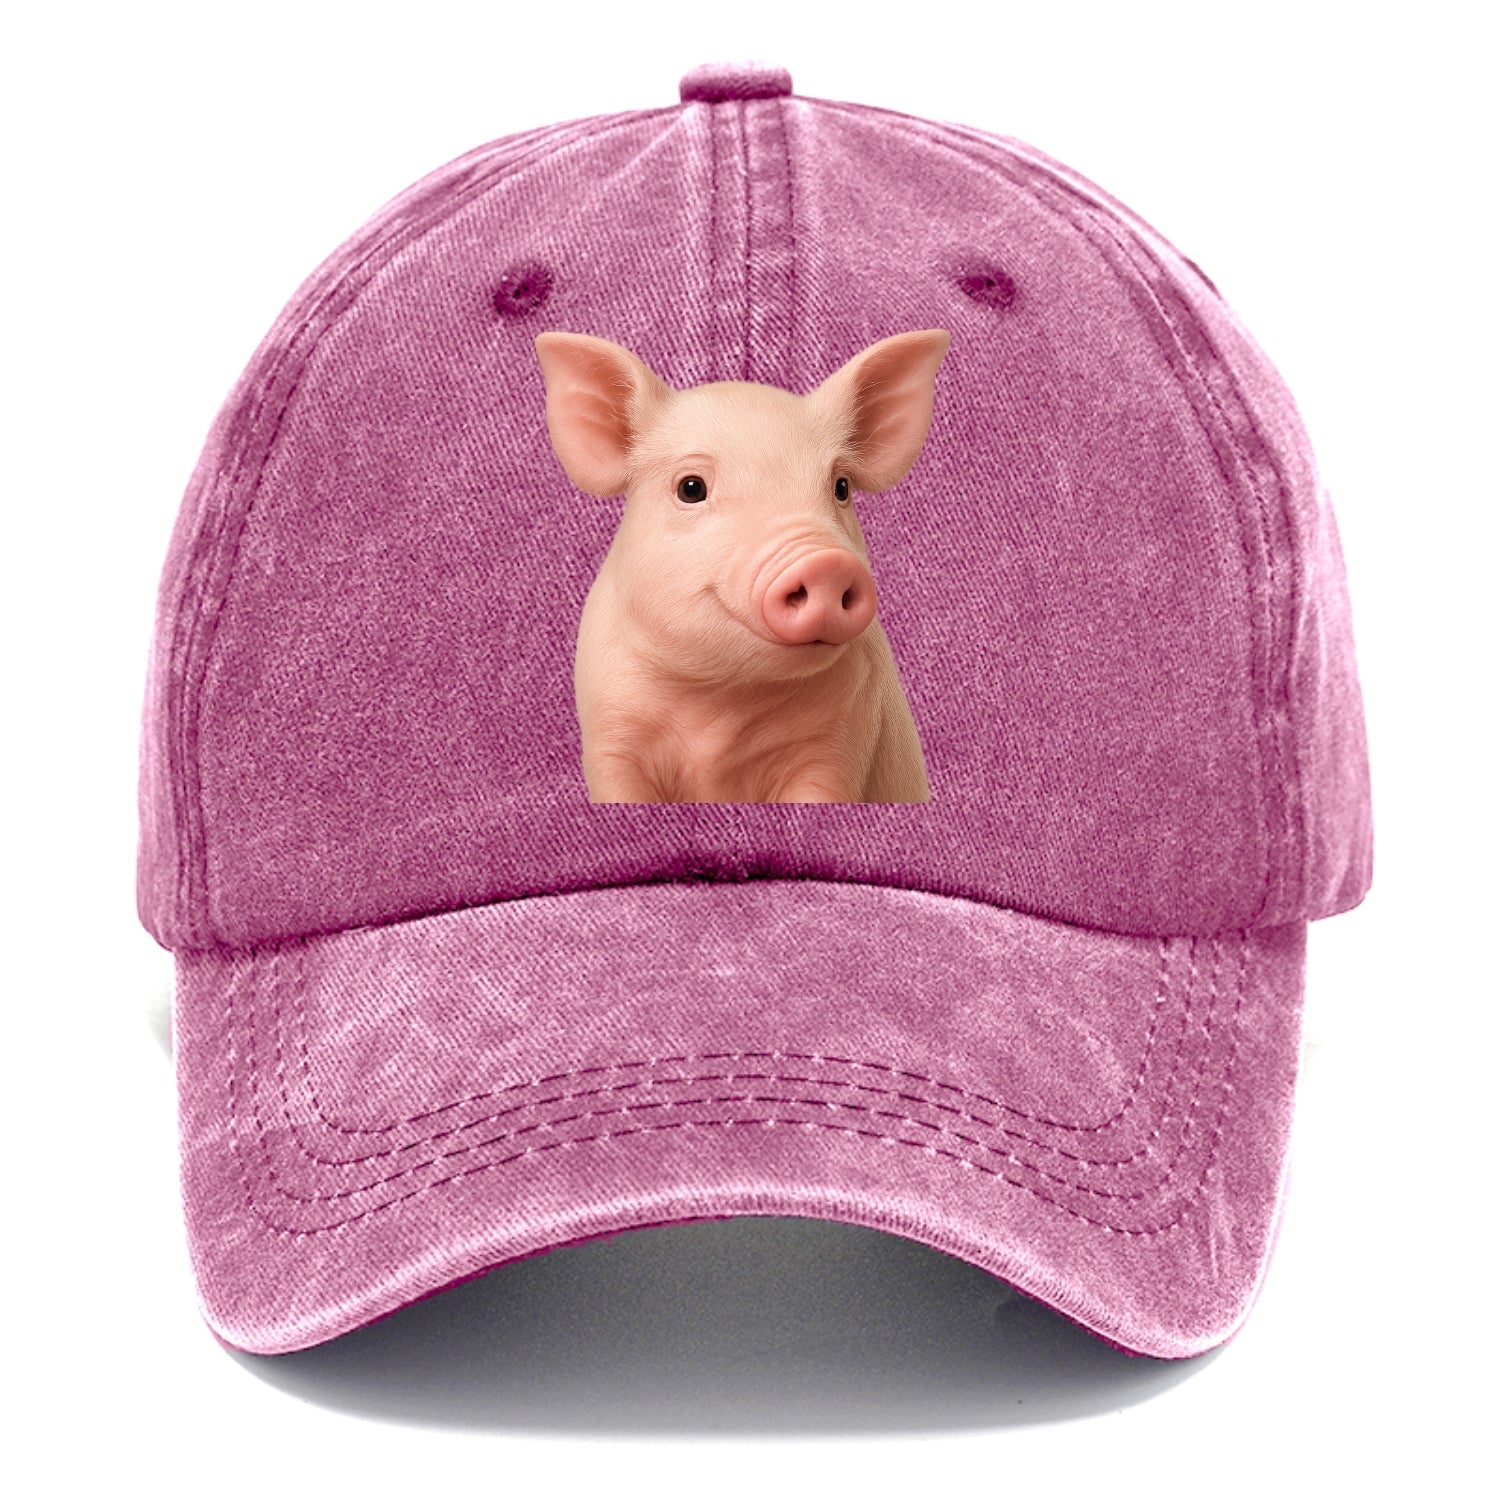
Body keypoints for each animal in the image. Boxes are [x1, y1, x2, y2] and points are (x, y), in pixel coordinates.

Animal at [534, 328, 949, 803]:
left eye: (841, 487)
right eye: (691, 488)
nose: (825, 563)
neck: (722, 700)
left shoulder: (838, 745)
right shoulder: (610, 734)